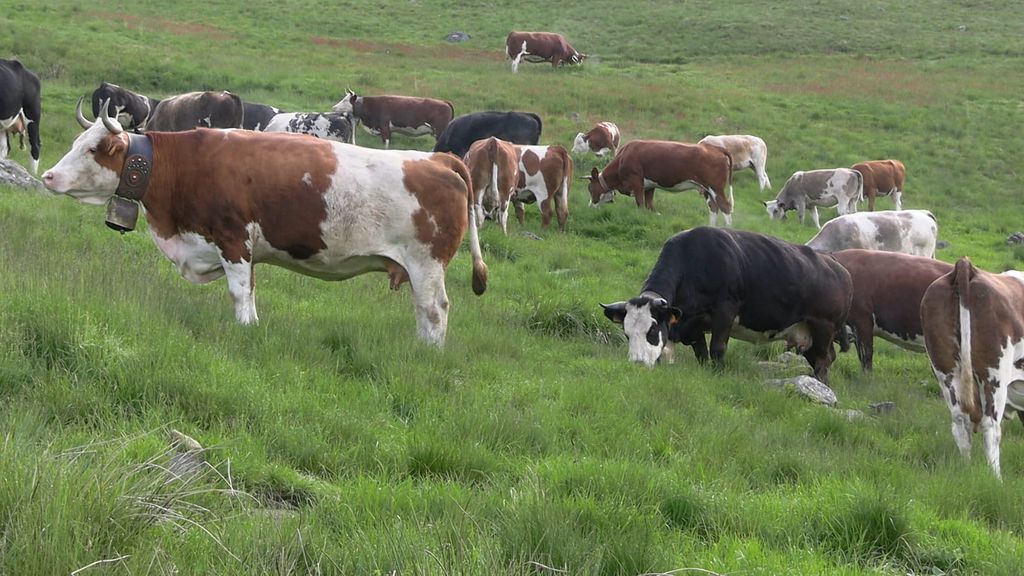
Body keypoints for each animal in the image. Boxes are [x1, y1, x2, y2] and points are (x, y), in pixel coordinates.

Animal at [41, 99, 488, 347]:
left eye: (95, 148)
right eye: (76, 144)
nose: (48, 176)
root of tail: (438, 159)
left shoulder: (233, 239)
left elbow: (239, 294)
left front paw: (244, 331)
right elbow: (251, 292)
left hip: (427, 265)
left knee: (434, 310)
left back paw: (429, 353)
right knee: (423, 311)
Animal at [583, 140, 734, 226]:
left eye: (591, 189)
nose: (590, 206)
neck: (622, 158)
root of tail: (716, 148)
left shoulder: (636, 182)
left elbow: (640, 203)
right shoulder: (650, 186)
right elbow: (649, 205)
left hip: (716, 187)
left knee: (725, 207)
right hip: (706, 189)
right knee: (713, 208)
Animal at [601, 227, 852, 384]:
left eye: (652, 330)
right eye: (626, 333)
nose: (637, 363)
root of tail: (839, 268)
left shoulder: (725, 311)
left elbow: (717, 348)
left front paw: (718, 374)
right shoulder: (692, 324)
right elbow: (702, 354)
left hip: (824, 326)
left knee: (824, 359)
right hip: (809, 334)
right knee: (824, 357)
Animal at [921, 257, 1024, 478]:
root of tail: (967, 267)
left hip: (945, 370)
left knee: (960, 422)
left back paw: (965, 471)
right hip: (994, 375)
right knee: (991, 427)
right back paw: (996, 479)